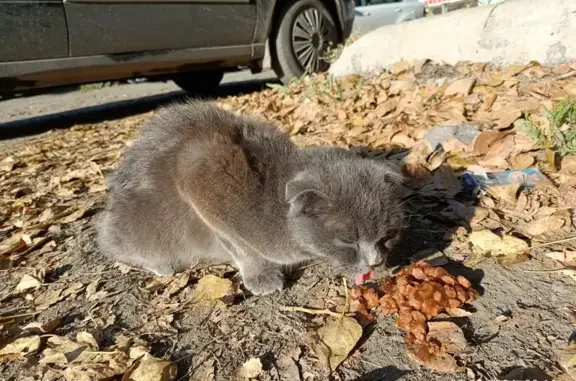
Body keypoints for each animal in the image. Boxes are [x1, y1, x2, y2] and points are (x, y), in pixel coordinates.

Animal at [97, 100, 404, 294]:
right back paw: (161, 265)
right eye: (347, 240)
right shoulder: (199, 176)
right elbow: (241, 246)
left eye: (388, 235)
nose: (376, 261)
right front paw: (262, 276)